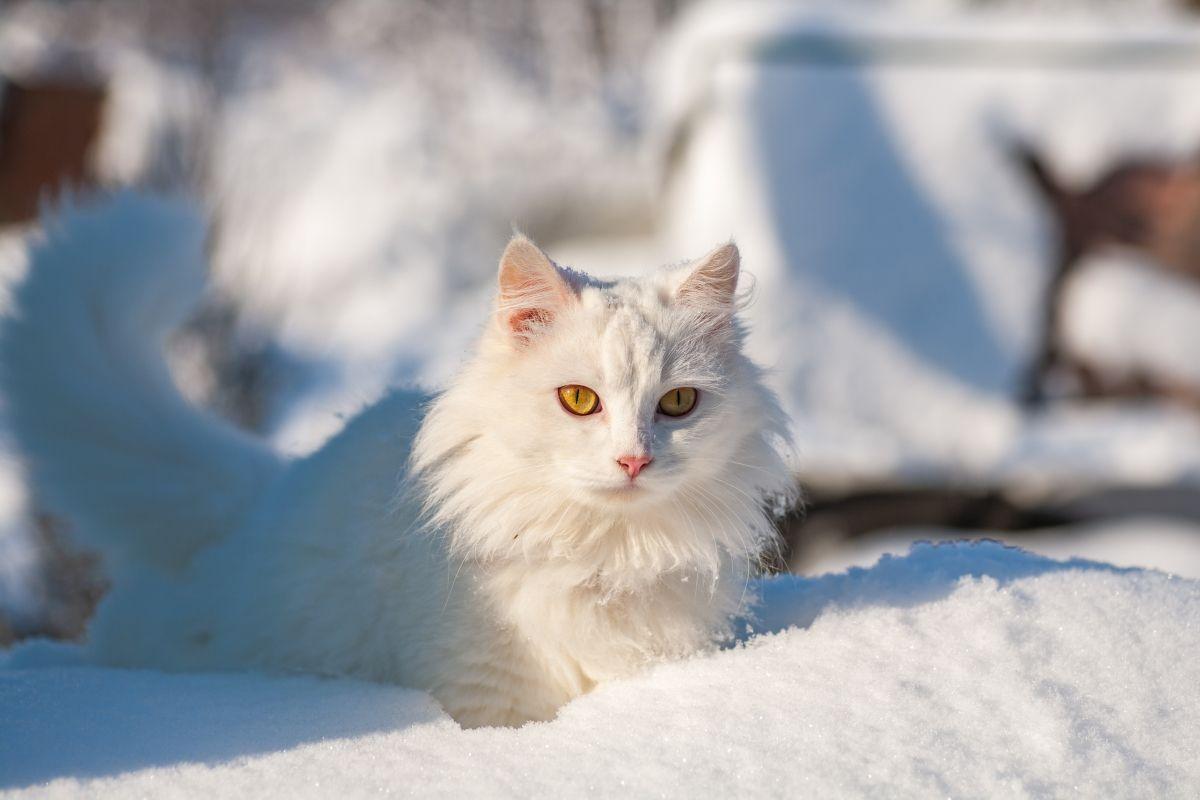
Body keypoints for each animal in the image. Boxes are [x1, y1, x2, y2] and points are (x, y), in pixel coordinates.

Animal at [7, 194, 806, 724]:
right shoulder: (483, 688)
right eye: (579, 401)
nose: (633, 460)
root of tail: (269, 490)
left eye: (678, 405)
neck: (602, 552)